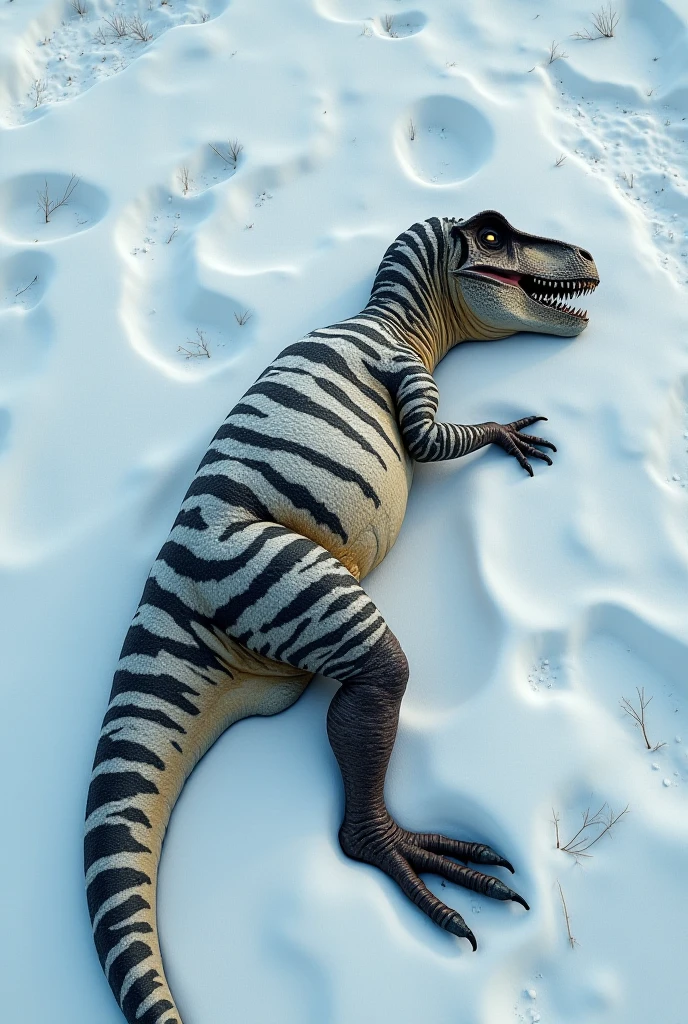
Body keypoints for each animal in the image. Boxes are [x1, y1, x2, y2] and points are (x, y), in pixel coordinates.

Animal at [85, 210, 599, 1024]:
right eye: (495, 236)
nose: (584, 252)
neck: (392, 316)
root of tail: (172, 577)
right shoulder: (401, 368)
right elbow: (431, 442)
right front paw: (501, 430)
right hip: (276, 573)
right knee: (379, 679)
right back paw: (408, 855)